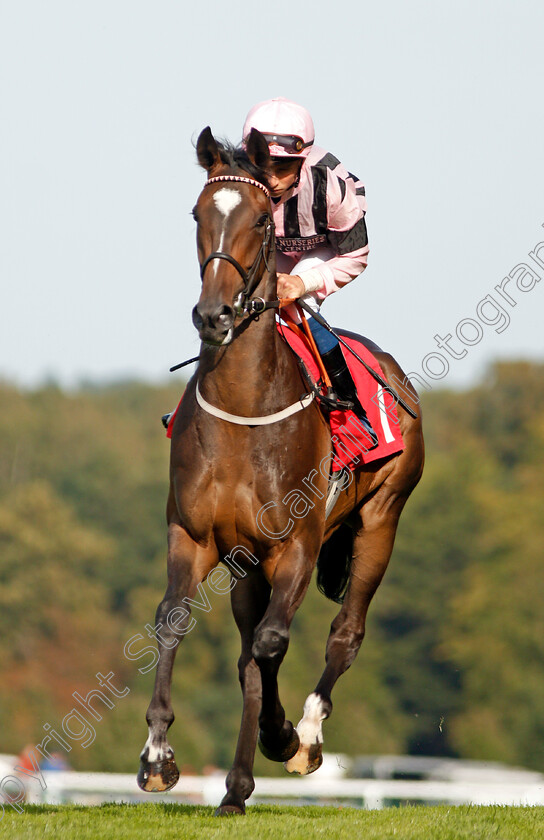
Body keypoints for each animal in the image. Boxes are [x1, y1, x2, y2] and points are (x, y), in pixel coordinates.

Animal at [137, 126, 424, 812]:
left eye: (263, 220)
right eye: (197, 214)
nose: (213, 315)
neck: (246, 408)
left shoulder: (296, 543)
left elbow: (273, 644)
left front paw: (284, 734)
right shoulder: (195, 536)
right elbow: (176, 623)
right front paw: (158, 755)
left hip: (381, 520)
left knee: (344, 632)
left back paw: (306, 736)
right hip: (246, 565)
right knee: (248, 657)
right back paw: (237, 788)